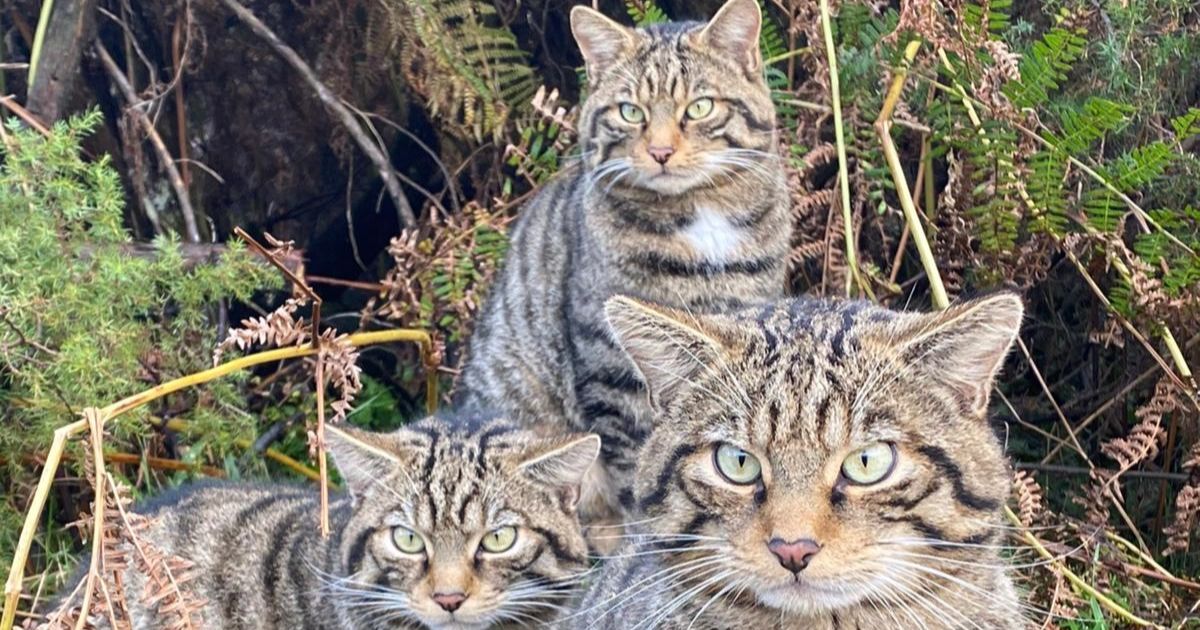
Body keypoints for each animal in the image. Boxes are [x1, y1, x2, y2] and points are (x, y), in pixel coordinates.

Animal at [453, 0, 792, 532]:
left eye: (699, 107)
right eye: (630, 112)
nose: (660, 151)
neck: (701, 216)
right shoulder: (612, 366)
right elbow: (636, 464)